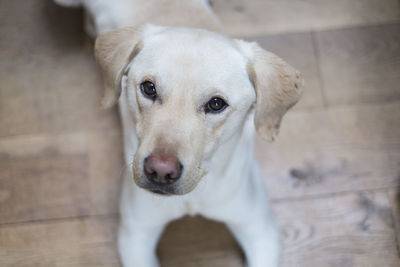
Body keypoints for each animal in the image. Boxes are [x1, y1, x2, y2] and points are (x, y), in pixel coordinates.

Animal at [55, 1, 304, 266]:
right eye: (149, 88)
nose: (160, 171)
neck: (192, 197)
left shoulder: (260, 229)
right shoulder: (135, 236)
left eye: (216, 103)